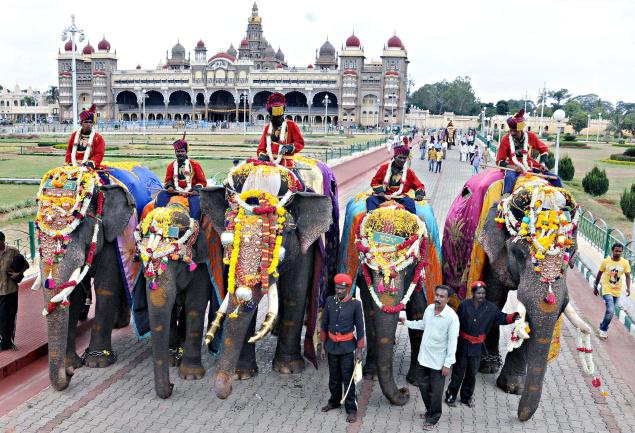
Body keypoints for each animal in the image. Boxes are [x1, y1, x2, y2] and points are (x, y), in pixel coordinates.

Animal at [33, 161, 163, 388]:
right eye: (37, 229)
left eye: (78, 225)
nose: (69, 373)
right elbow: (74, 294)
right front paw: (72, 363)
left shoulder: (113, 234)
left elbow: (106, 286)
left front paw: (97, 362)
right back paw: (118, 324)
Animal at [133, 197, 212, 398]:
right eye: (143, 262)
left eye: (177, 265)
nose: (171, 385)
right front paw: (170, 361)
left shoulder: (202, 265)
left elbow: (196, 305)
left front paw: (191, 375)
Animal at [201, 159, 340, 398]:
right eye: (229, 237)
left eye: (278, 234)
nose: (224, 390)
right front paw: (241, 374)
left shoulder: (305, 246)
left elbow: (295, 289)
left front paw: (289, 369)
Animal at [338, 192, 442, 404]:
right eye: (367, 260)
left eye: (409, 265)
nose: (404, 392)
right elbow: (369, 310)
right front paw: (370, 374)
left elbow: (418, 310)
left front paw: (415, 381)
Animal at [444, 170, 592, 420]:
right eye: (519, 253)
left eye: (571, 253)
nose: (520, 417)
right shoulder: (493, 250)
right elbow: (494, 299)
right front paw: (489, 368)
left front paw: (513, 388)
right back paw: (488, 364)